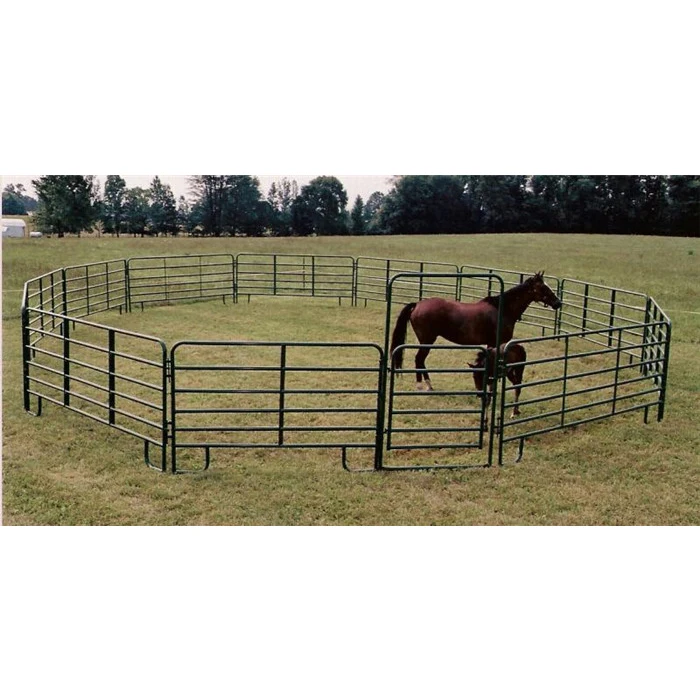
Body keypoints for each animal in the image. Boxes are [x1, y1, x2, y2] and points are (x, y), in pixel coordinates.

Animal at [390, 272, 561, 390]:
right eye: (543, 287)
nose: (558, 303)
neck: (502, 309)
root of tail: (417, 305)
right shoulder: (497, 343)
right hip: (427, 340)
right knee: (419, 359)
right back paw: (421, 386)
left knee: (421, 360)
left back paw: (429, 386)